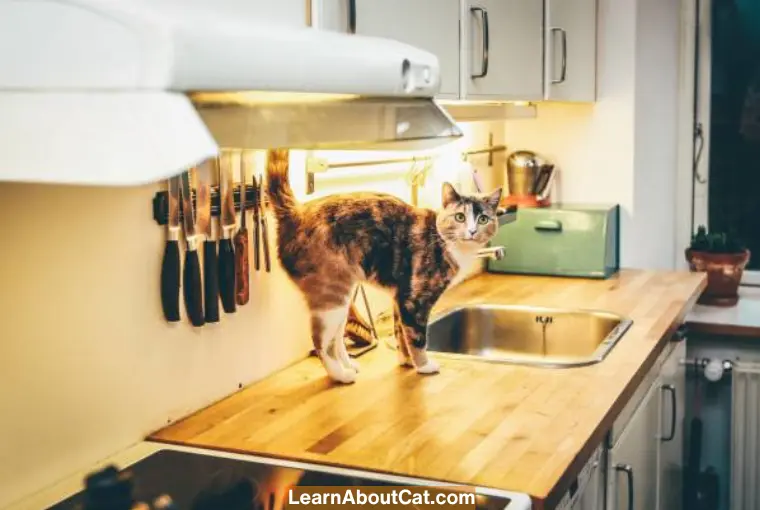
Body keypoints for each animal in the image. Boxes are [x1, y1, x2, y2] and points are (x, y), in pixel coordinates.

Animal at [264, 149, 502, 384]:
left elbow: (400, 334)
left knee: (337, 338)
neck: (446, 243)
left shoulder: (400, 298)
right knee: (321, 341)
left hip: (342, 298)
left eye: (483, 219)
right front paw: (423, 365)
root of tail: (296, 212)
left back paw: (349, 365)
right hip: (331, 295)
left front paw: (406, 362)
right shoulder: (415, 300)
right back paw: (341, 375)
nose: (472, 231)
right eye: (460, 217)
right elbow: (417, 338)